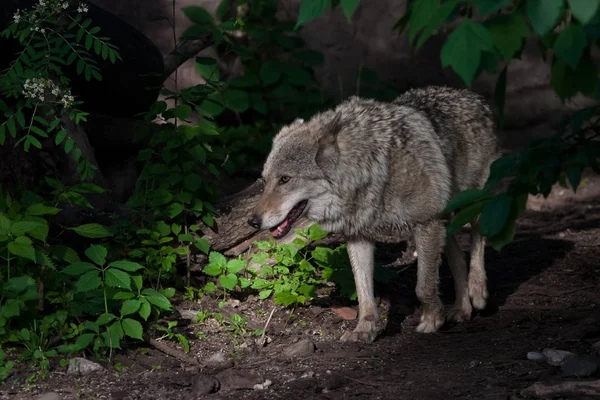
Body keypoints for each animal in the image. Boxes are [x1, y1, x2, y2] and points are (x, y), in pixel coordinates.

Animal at [246, 86, 500, 342]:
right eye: (265, 181)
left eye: (285, 179)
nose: (253, 222)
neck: (371, 170)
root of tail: (472, 95)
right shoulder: (359, 236)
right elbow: (363, 292)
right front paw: (365, 329)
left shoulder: (426, 223)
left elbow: (423, 286)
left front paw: (431, 320)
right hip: (446, 224)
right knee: (458, 258)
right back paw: (462, 308)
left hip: (472, 207)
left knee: (479, 237)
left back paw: (478, 290)